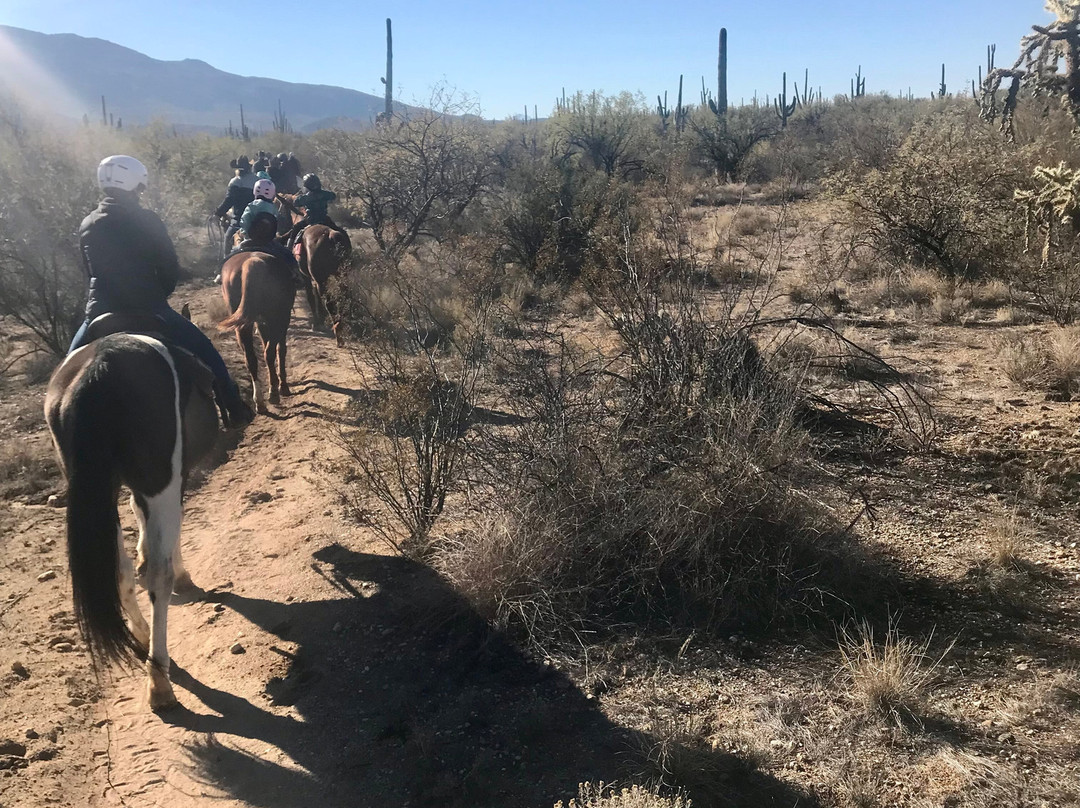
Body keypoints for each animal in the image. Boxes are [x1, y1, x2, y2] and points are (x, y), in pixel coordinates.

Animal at [47, 313, 220, 708]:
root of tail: (99, 369)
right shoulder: (172, 480)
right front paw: (185, 578)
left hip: (98, 492)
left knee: (120, 571)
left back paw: (141, 637)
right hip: (159, 480)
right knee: (157, 574)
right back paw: (159, 682)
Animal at [218, 218, 298, 412]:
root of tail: (252, 262)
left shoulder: (261, 323)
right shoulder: (280, 319)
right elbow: (280, 349)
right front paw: (282, 385)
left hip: (243, 325)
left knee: (251, 358)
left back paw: (259, 401)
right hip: (278, 317)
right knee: (269, 352)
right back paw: (274, 392)